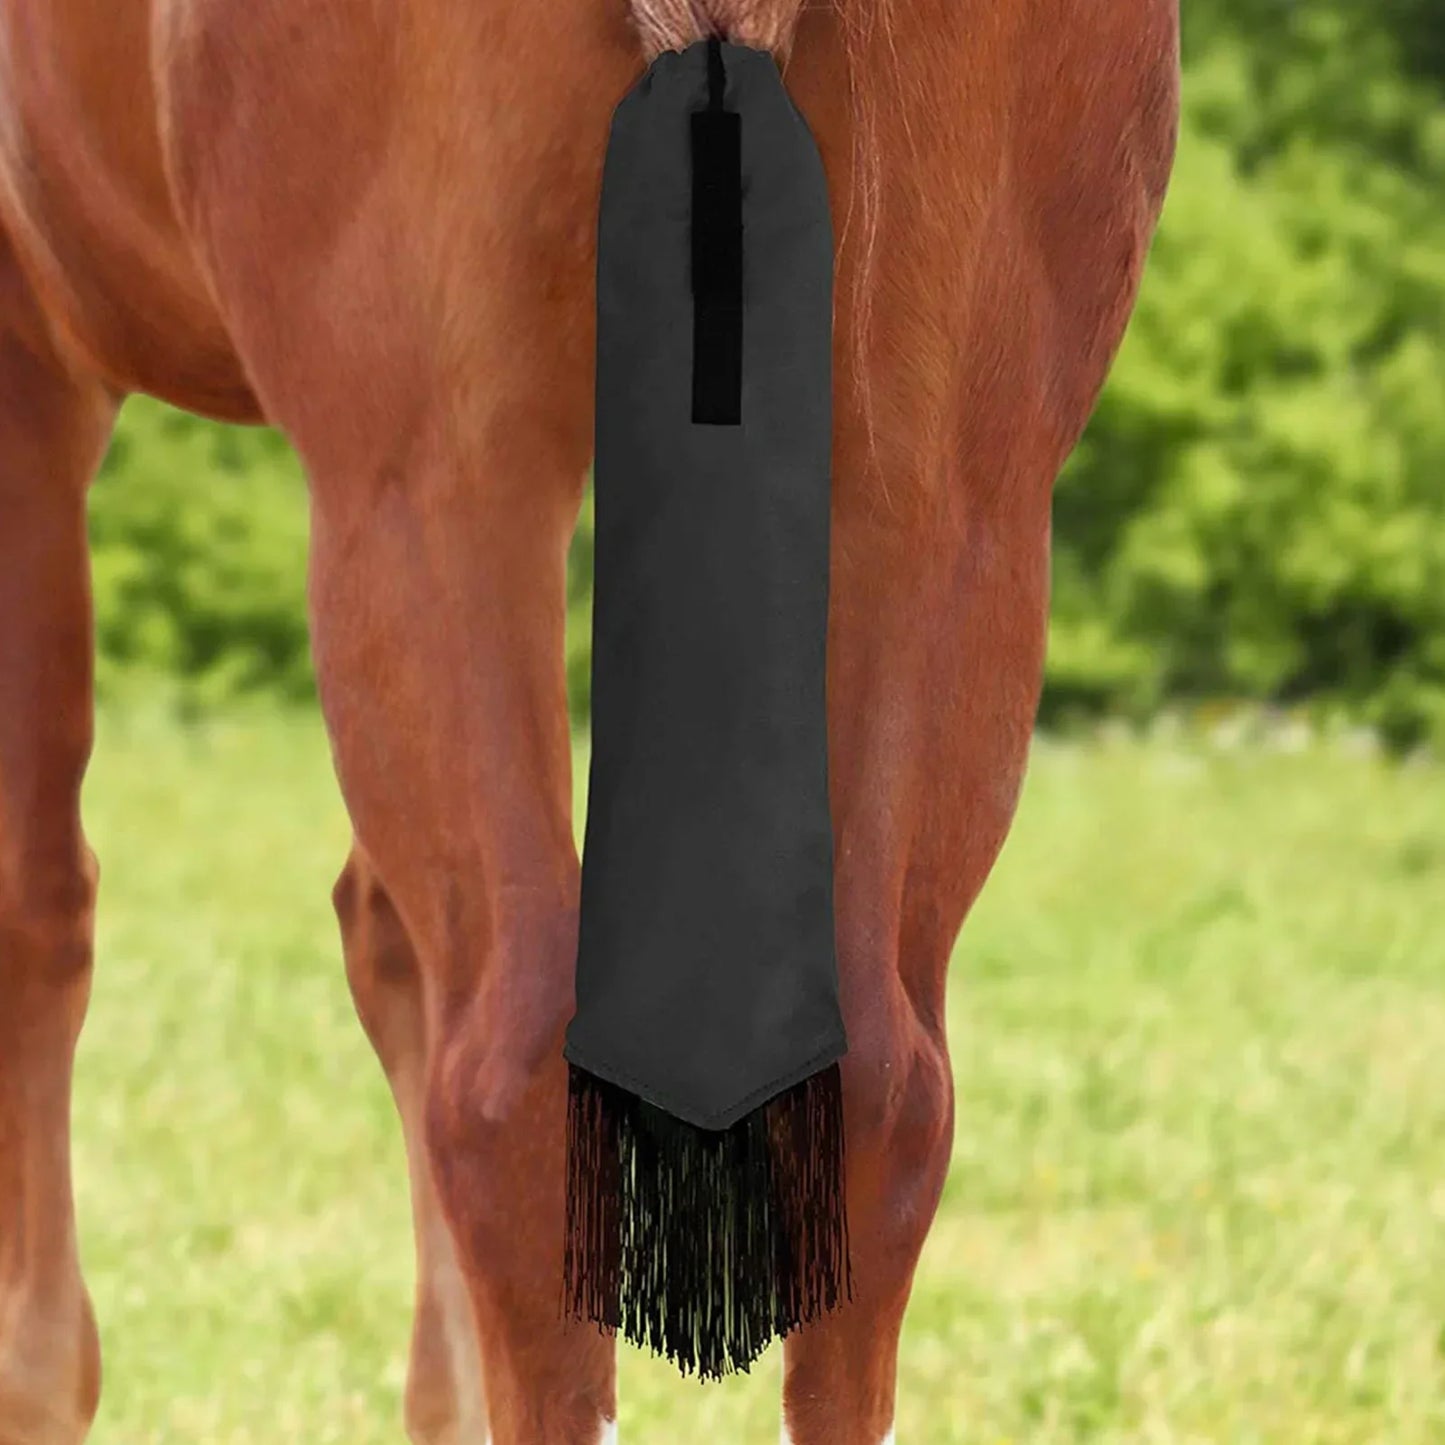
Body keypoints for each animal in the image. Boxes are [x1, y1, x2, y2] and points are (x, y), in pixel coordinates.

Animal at [0, 0, 1178, 1440]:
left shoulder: (30, 354)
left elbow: (36, 911)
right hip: (949, 493)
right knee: (880, 1095)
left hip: (436, 474)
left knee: (505, 1083)